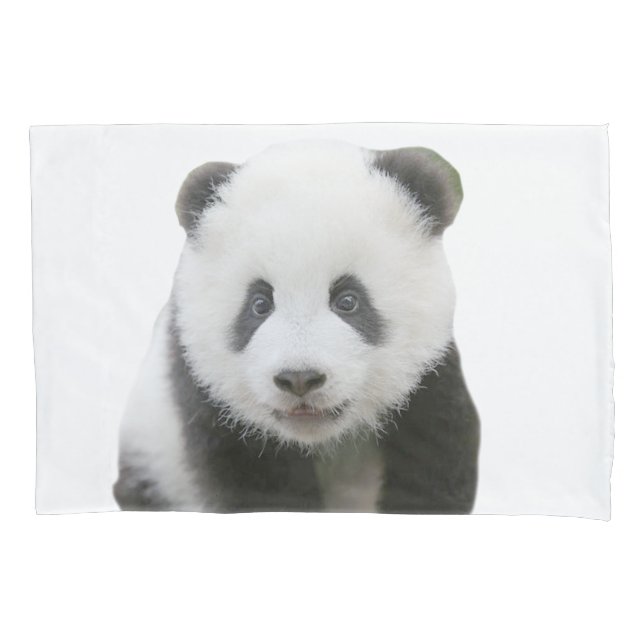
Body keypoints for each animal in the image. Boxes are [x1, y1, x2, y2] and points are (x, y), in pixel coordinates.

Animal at [113, 140, 480, 514]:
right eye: (260, 304)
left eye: (348, 300)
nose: (299, 379)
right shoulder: (207, 397)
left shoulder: (428, 378)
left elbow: (433, 457)